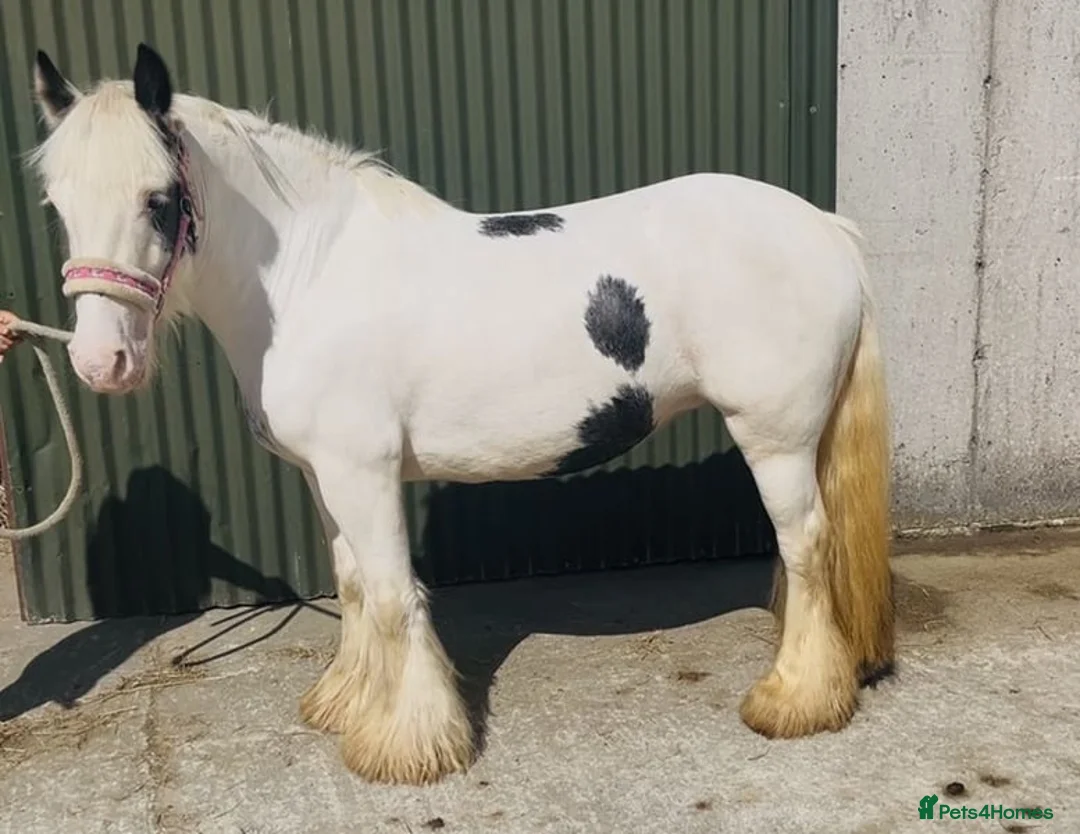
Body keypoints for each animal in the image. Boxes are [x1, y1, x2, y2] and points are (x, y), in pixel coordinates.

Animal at [24, 42, 894, 786]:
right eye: (56, 203)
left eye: (160, 200)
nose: (101, 362)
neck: (309, 277)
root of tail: (824, 228)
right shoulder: (324, 476)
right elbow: (353, 586)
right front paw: (346, 702)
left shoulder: (364, 473)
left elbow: (392, 594)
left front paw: (406, 744)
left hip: (774, 438)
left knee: (806, 546)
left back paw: (794, 699)